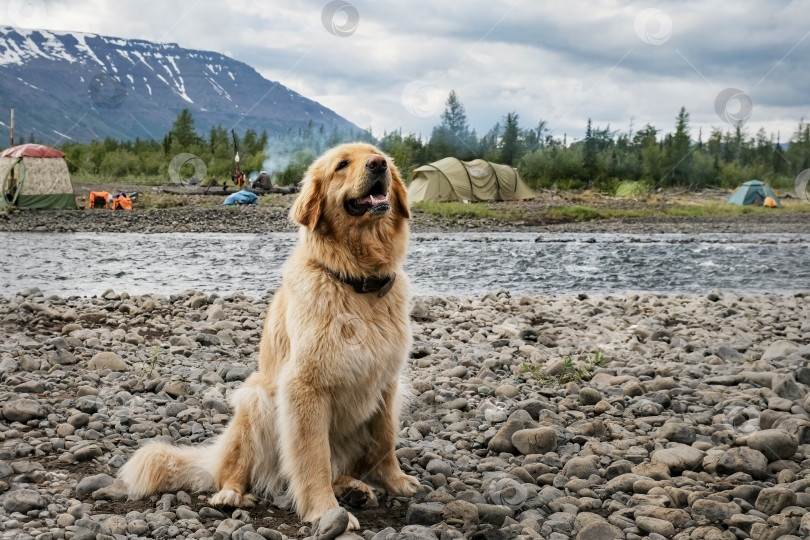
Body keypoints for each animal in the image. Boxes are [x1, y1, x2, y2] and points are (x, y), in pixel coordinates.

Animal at [120, 142, 416, 528]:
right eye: (342, 165)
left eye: (379, 156)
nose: (378, 164)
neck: (356, 281)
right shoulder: (304, 386)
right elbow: (313, 458)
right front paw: (326, 511)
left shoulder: (388, 383)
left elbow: (385, 440)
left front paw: (394, 481)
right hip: (256, 400)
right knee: (234, 469)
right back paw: (231, 494)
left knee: (342, 465)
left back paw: (354, 487)